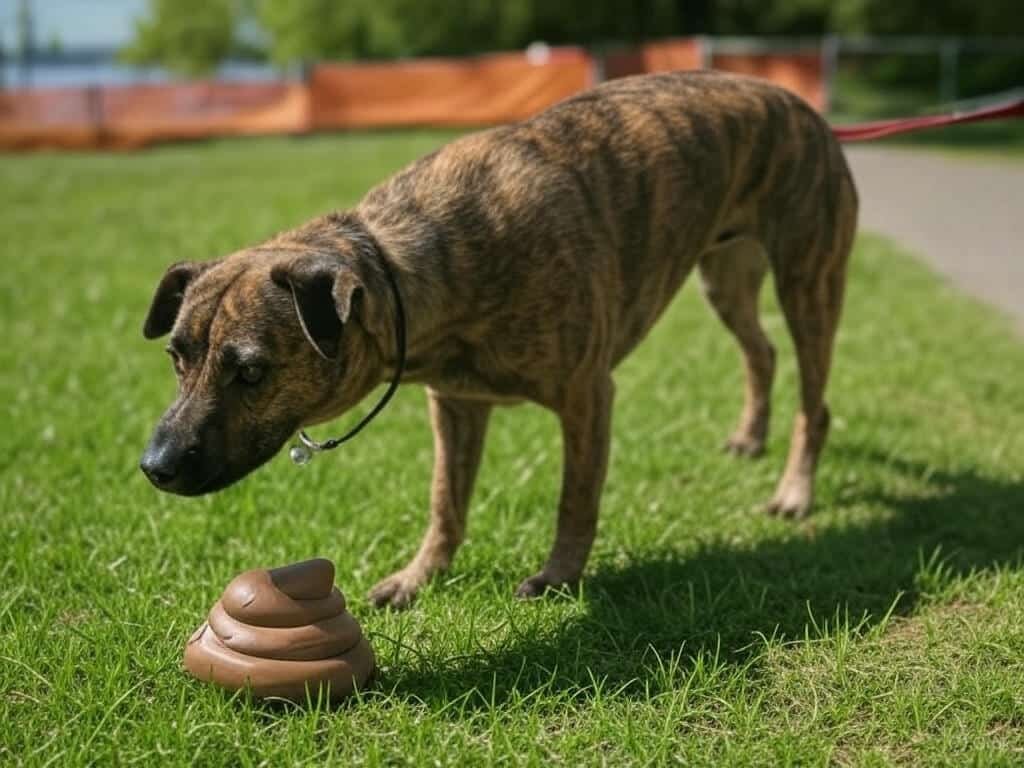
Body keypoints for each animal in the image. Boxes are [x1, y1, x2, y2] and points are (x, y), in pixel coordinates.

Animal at [138, 73, 856, 614]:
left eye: (251, 372)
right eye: (176, 358)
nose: (154, 466)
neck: (409, 262)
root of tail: (807, 109)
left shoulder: (587, 395)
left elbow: (575, 500)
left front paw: (559, 577)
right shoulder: (456, 404)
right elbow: (445, 502)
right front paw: (418, 578)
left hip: (809, 282)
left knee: (815, 402)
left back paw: (795, 490)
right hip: (725, 278)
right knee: (760, 352)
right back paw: (751, 437)